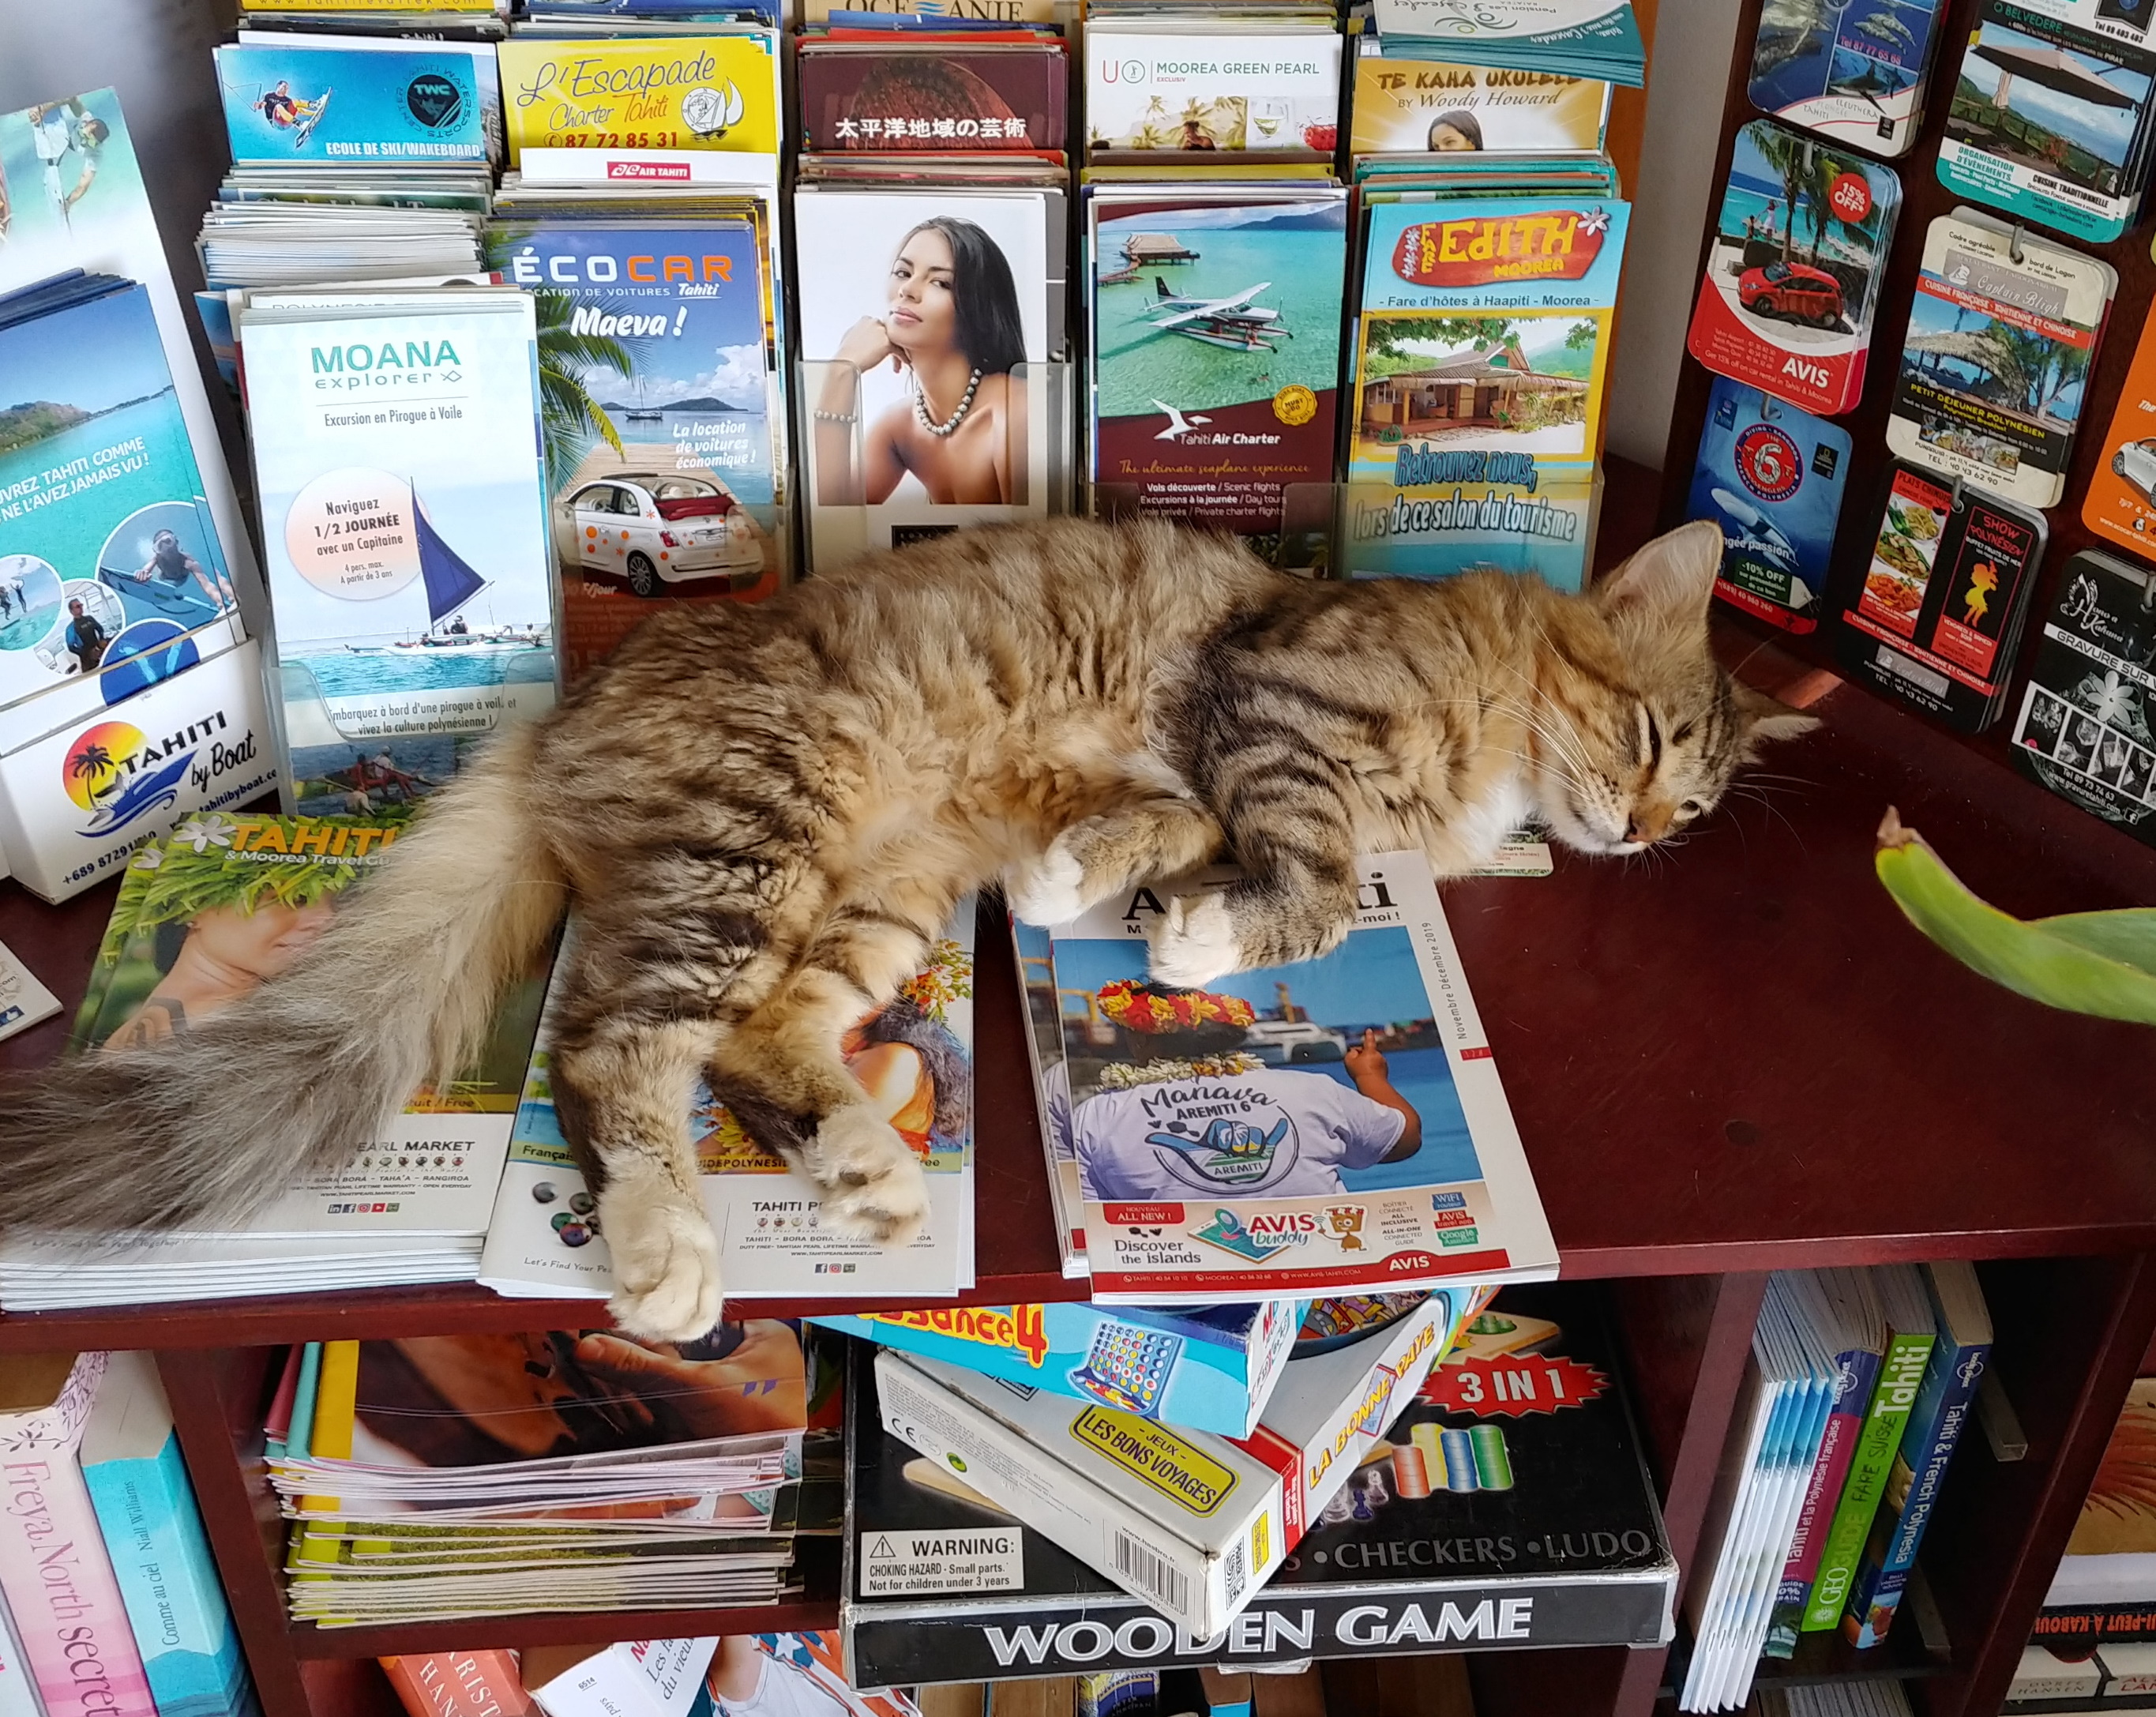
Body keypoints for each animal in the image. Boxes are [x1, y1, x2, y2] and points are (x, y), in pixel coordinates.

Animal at [0, 517, 1811, 1339]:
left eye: (1697, 802)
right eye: (1651, 740)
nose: (1644, 831)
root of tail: (569, 704)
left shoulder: (1197, 758)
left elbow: (1171, 835)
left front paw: (1098, 887)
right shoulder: (1274, 700)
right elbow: (1295, 879)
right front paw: (1194, 941)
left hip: (873, 899)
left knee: (758, 1040)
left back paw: (865, 1163)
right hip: (759, 845)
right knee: (616, 1047)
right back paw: (666, 1247)